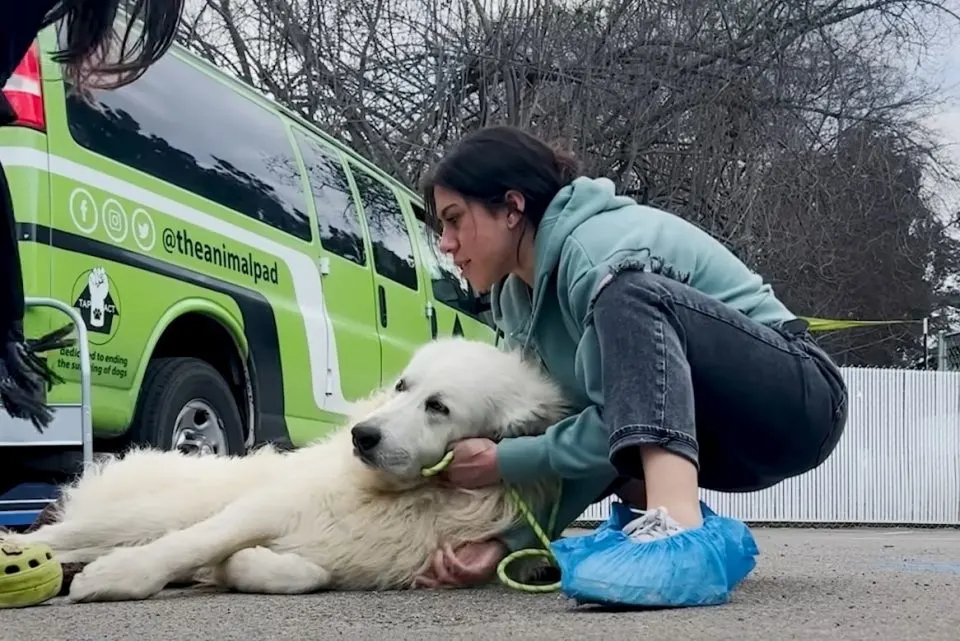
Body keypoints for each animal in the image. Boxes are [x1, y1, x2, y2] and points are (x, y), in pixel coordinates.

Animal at [1, 338, 568, 604]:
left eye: (438, 407)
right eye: (403, 386)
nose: (363, 435)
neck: (409, 494)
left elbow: (306, 573)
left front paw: (239, 567)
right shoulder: (264, 507)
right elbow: (196, 542)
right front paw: (119, 577)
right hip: (146, 512)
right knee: (57, 535)